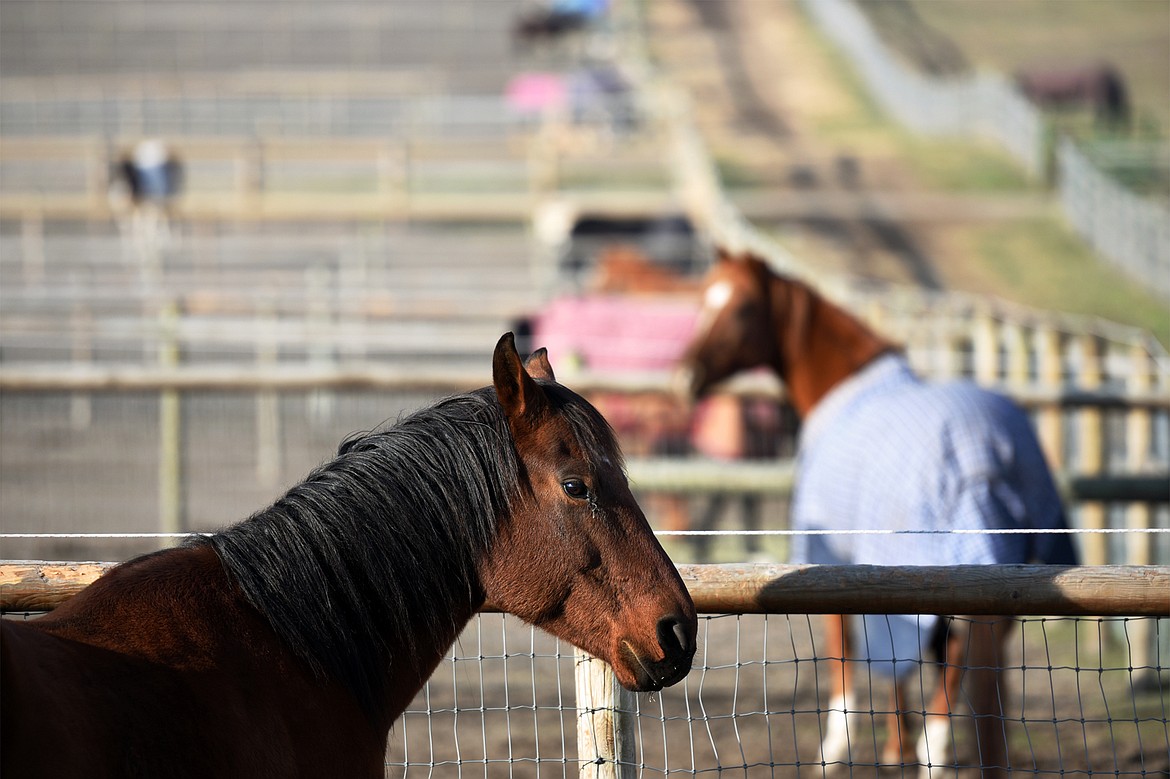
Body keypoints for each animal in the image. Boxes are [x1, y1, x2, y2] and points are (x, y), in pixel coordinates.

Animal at [678, 251, 1076, 771]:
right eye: (703, 298)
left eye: (742, 307)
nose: (686, 374)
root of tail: (992, 453)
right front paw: (895, 745)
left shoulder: (833, 564)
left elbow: (848, 654)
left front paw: (843, 749)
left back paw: (934, 752)